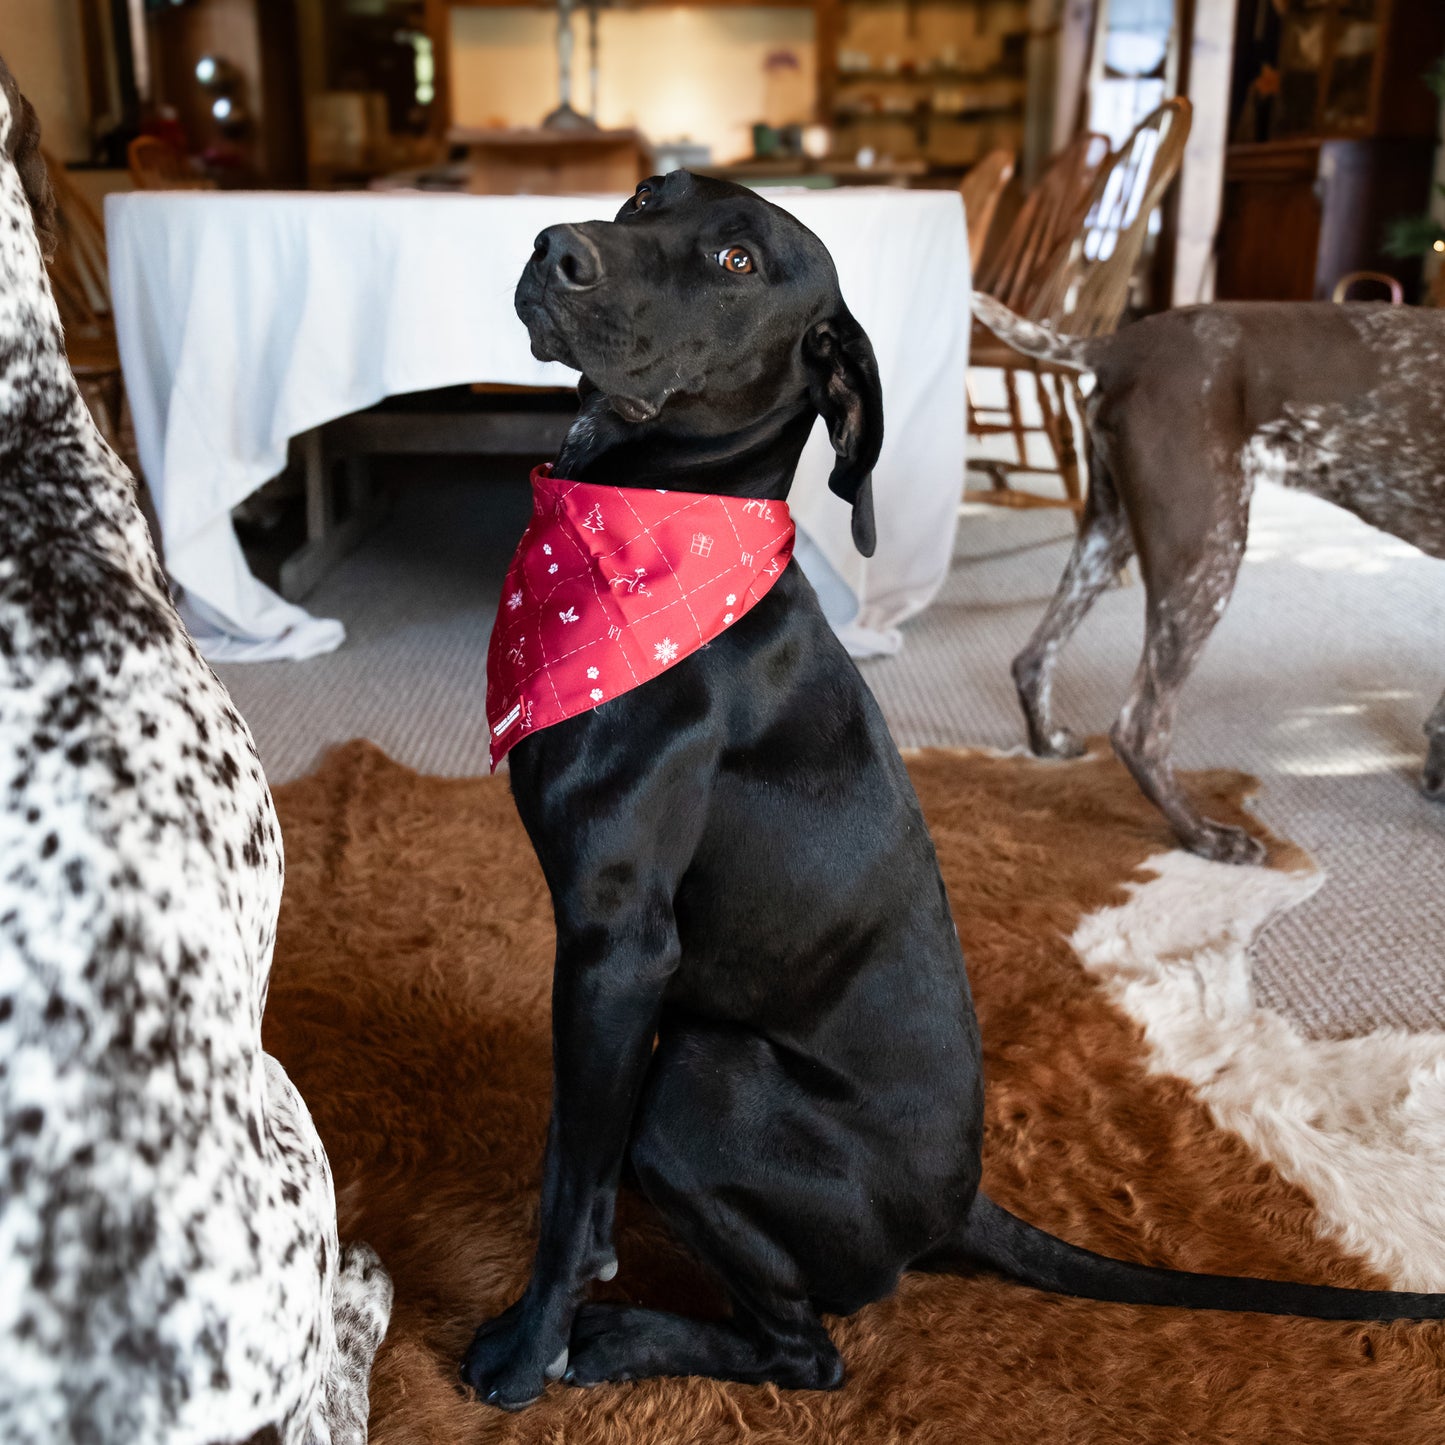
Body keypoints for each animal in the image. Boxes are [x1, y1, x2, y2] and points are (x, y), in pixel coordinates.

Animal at [971, 287, 1445, 861]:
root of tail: (1120, 345)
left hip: (1111, 533)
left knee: (1033, 657)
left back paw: (1048, 745)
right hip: (1208, 549)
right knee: (1139, 731)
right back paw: (1205, 837)